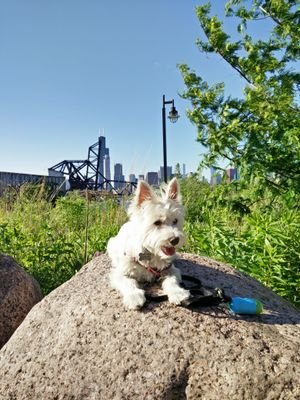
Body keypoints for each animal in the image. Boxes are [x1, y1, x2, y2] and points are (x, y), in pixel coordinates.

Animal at [106, 177, 189, 310]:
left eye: (175, 221)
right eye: (157, 222)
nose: (175, 240)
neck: (151, 253)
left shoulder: (171, 270)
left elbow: (171, 280)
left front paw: (177, 293)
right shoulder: (120, 273)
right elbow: (128, 283)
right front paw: (134, 296)